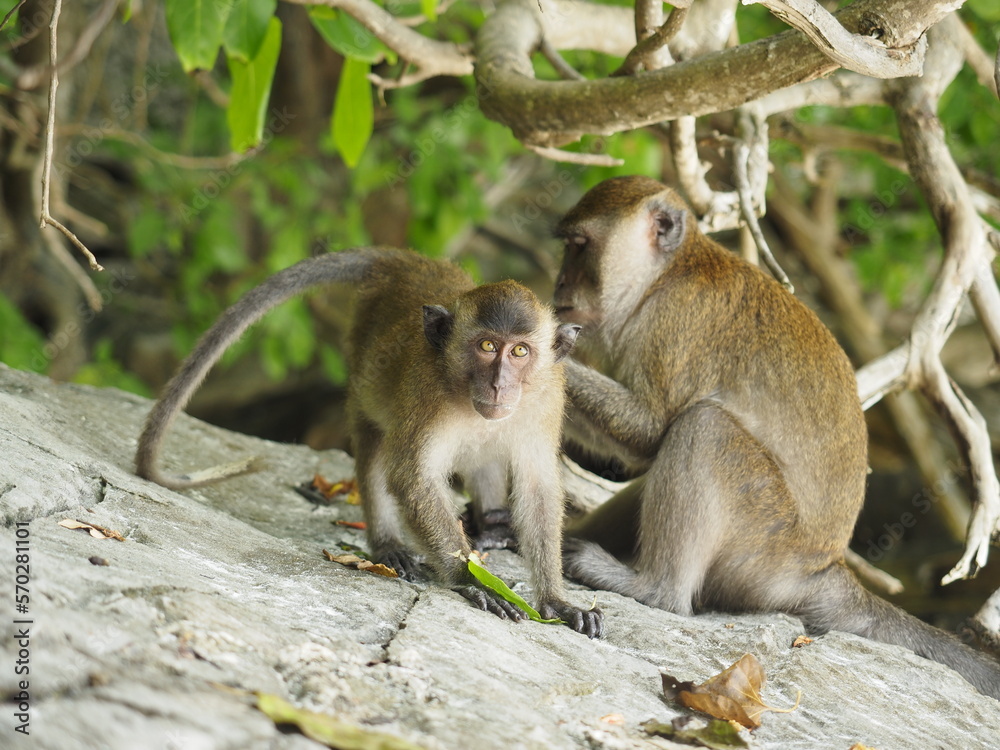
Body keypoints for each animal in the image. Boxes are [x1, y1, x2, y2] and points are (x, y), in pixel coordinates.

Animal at [136, 247, 603, 638]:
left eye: (520, 352)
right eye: (488, 346)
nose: (499, 384)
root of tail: (407, 262)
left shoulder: (546, 399)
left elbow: (538, 487)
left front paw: (557, 599)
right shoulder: (425, 394)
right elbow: (412, 476)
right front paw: (471, 580)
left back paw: (492, 528)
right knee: (377, 443)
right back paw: (389, 545)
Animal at [551, 175, 1000, 697]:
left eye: (579, 246)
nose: (558, 284)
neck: (665, 276)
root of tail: (820, 570)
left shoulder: (672, 323)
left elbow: (649, 432)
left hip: (763, 546)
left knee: (704, 426)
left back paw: (653, 588)